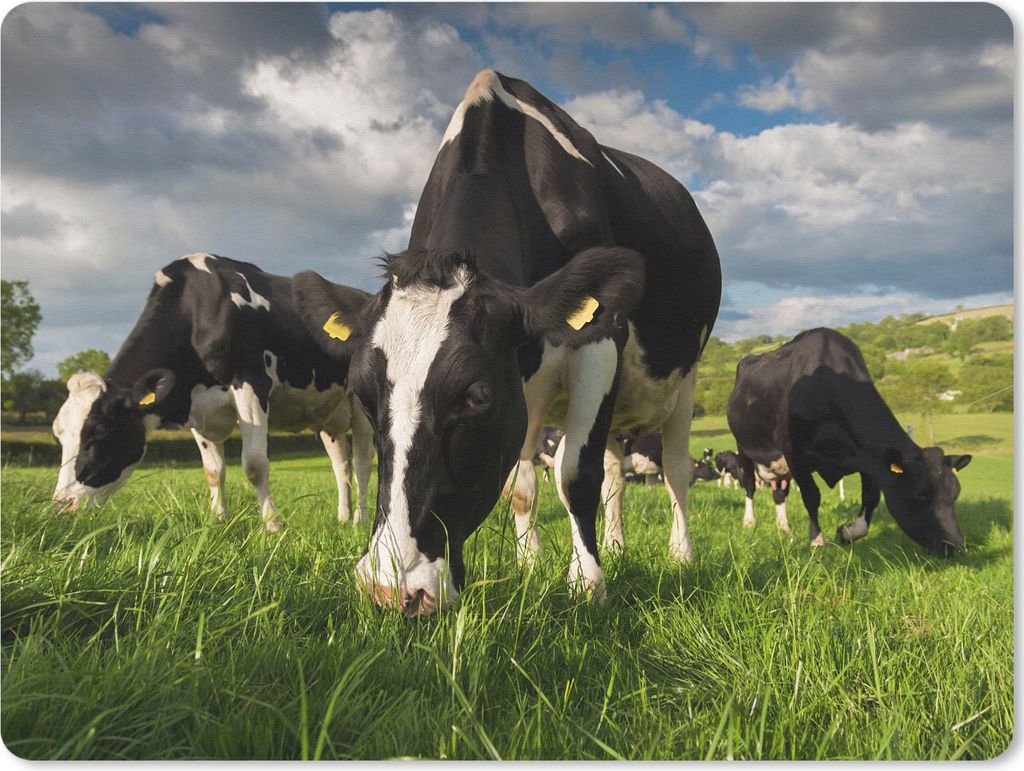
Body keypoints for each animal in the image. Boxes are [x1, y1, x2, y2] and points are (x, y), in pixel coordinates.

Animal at [51, 253, 374, 529]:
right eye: (58, 436)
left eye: (99, 433)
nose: (62, 505)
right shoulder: (196, 408)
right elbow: (213, 471)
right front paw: (218, 520)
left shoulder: (251, 384)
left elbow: (255, 465)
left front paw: (273, 525)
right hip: (326, 413)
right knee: (341, 464)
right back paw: (343, 516)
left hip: (360, 404)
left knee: (362, 463)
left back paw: (360, 520)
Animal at [295, 70, 720, 616]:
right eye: (364, 397)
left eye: (474, 396)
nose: (392, 589)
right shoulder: (522, 385)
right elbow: (523, 487)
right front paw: (530, 564)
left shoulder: (601, 339)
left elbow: (575, 474)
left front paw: (587, 585)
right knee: (614, 473)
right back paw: (617, 545)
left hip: (685, 380)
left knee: (675, 469)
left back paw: (680, 553)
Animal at [726, 328, 971, 554]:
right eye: (920, 495)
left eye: (955, 494)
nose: (956, 547)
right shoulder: (793, 452)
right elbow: (811, 496)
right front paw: (817, 541)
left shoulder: (869, 458)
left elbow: (871, 498)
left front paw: (847, 532)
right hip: (744, 447)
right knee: (749, 484)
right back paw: (749, 522)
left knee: (779, 493)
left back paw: (784, 529)